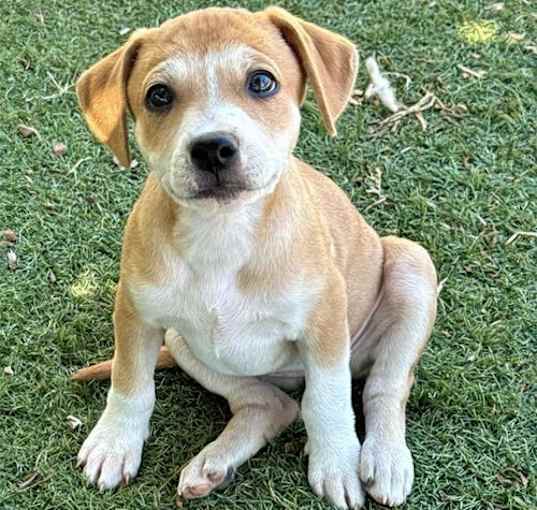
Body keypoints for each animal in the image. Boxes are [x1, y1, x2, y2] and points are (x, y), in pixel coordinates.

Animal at [73, 5, 438, 508]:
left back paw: (384, 458)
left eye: (262, 82)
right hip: (185, 343)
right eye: (159, 95)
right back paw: (211, 466)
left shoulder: (326, 321)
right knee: (271, 404)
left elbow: (328, 400)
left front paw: (337, 462)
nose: (212, 147)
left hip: (410, 263)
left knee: (383, 386)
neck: (222, 232)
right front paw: (113, 443)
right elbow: (130, 383)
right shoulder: (135, 313)